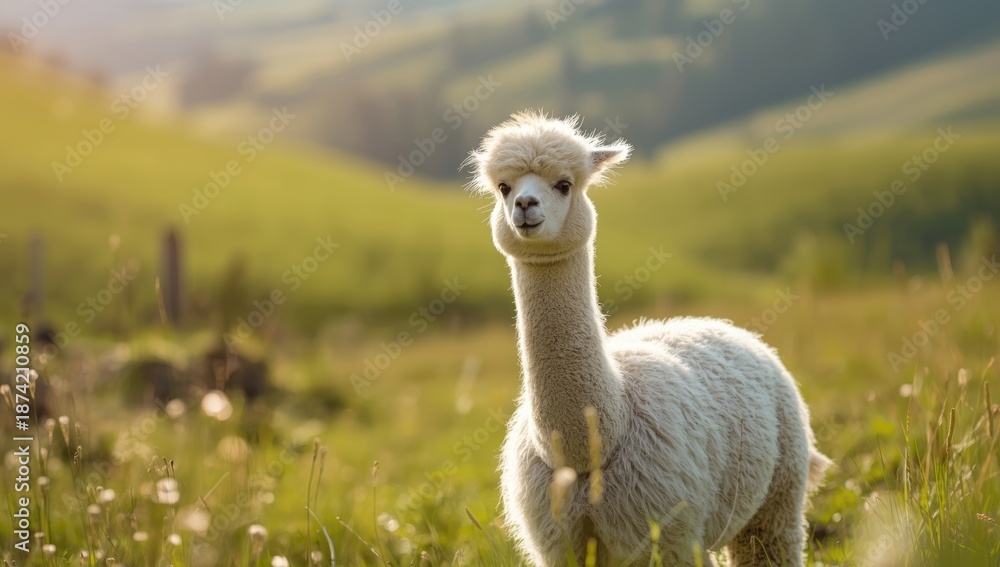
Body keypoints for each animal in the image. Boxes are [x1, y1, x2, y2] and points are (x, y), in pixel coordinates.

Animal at [465, 111, 831, 566]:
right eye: (504, 187)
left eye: (564, 184)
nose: (525, 206)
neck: (589, 452)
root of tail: (725, 326)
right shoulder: (559, 546)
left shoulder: (669, 534)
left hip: (778, 493)